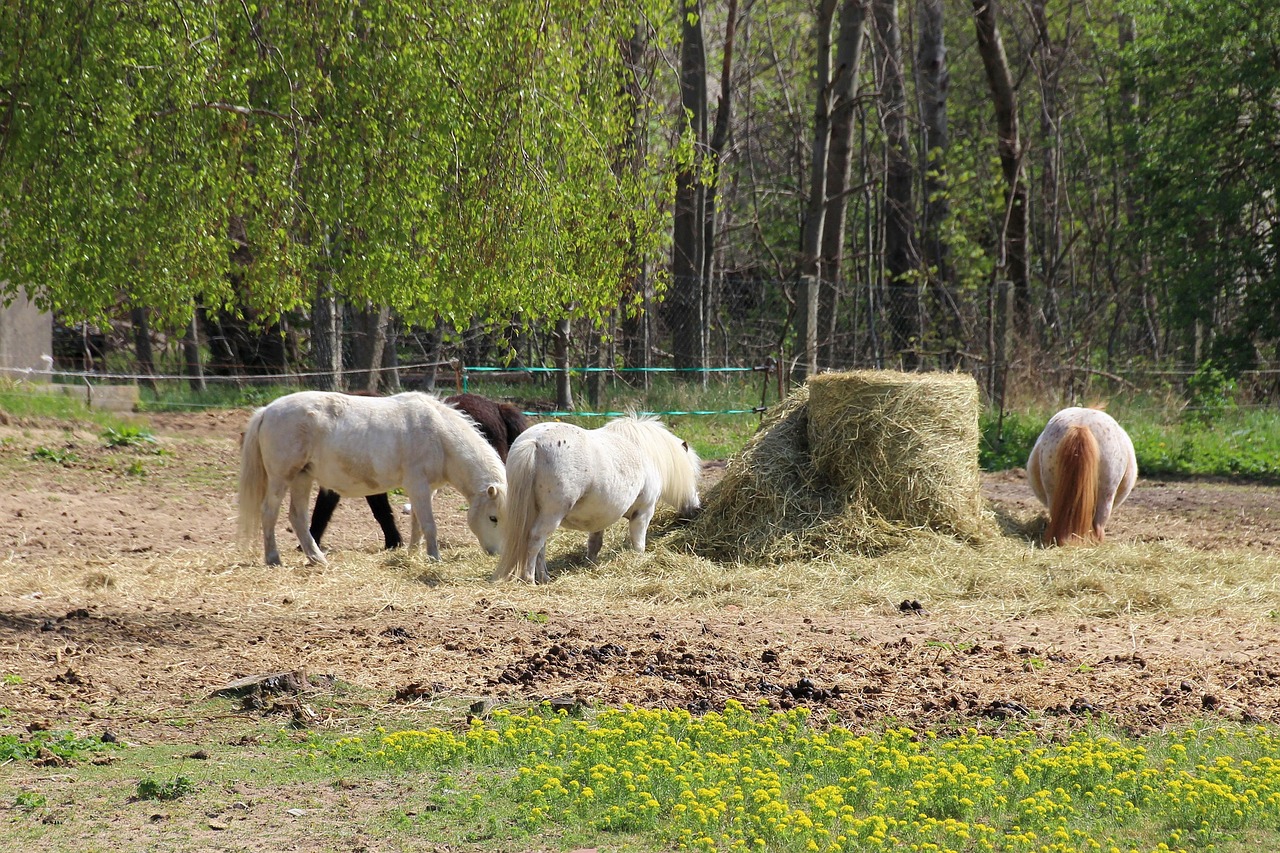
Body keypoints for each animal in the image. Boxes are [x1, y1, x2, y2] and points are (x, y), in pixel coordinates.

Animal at [238, 389, 506, 563]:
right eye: (493, 518)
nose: (497, 553)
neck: (439, 435)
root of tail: (267, 411)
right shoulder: (418, 486)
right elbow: (429, 525)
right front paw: (434, 558)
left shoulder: (425, 490)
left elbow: (417, 524)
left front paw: (412, 553)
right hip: (281, 478)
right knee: (269, 513)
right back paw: (273, 558)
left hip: (302, 478)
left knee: (298, 517)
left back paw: (317, 558)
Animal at [494, 412, 706, 584]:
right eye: (694, 474)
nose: (697, 507)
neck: (645, 452)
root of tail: (534, 441)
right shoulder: (643, 512)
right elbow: (639, 543)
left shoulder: (599, 517)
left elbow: (595, 543)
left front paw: (590, 564)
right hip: (552, 514)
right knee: (536, 540)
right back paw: (529, 578)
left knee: (541, 545)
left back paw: (544, 577)